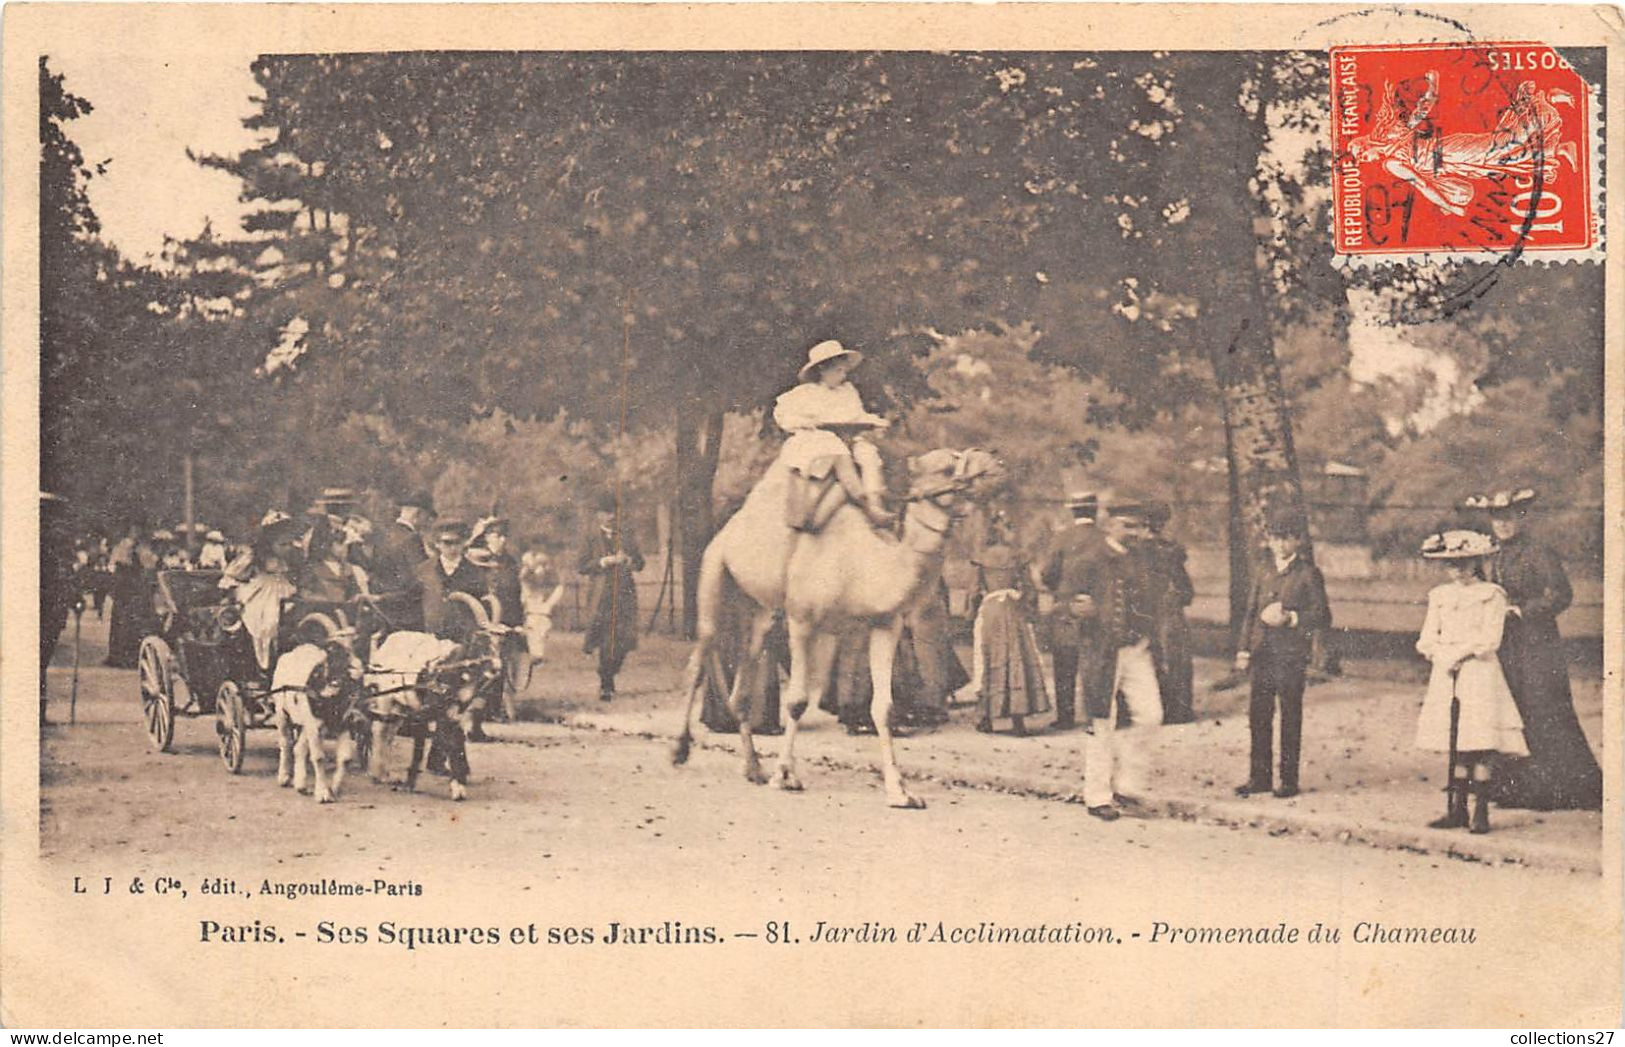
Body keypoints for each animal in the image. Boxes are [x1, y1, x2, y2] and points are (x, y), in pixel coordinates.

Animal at [669, 445, 994, 806]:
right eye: (947, 466)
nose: (991, 460)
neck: (861, 566)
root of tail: (728, 528)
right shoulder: (802, 620)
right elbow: (797, 701)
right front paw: (785, 775)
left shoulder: (885, 624)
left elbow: (883, 707)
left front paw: (901, 791)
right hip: (715, 568)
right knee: (701, 654)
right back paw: (679, 750)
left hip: (761, 610)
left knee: (744, 676)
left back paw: (753, 768)